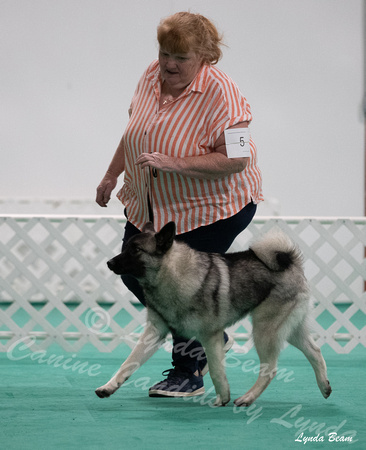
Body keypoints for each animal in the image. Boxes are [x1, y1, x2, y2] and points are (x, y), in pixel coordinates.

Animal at [95, 220, 332, 406]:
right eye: (126, 247)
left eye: (136, 250)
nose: (109, 262)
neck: (172, 274)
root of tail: (290, 262)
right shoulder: (154, 333)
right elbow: (129, 363)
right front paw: (108, 387)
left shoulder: (210, 336)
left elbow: (218, 371)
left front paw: (223, 397)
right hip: (289, 329)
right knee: (315, 351)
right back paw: (324, 386)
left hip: (265, 330)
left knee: (270, 369)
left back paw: (247, 398)